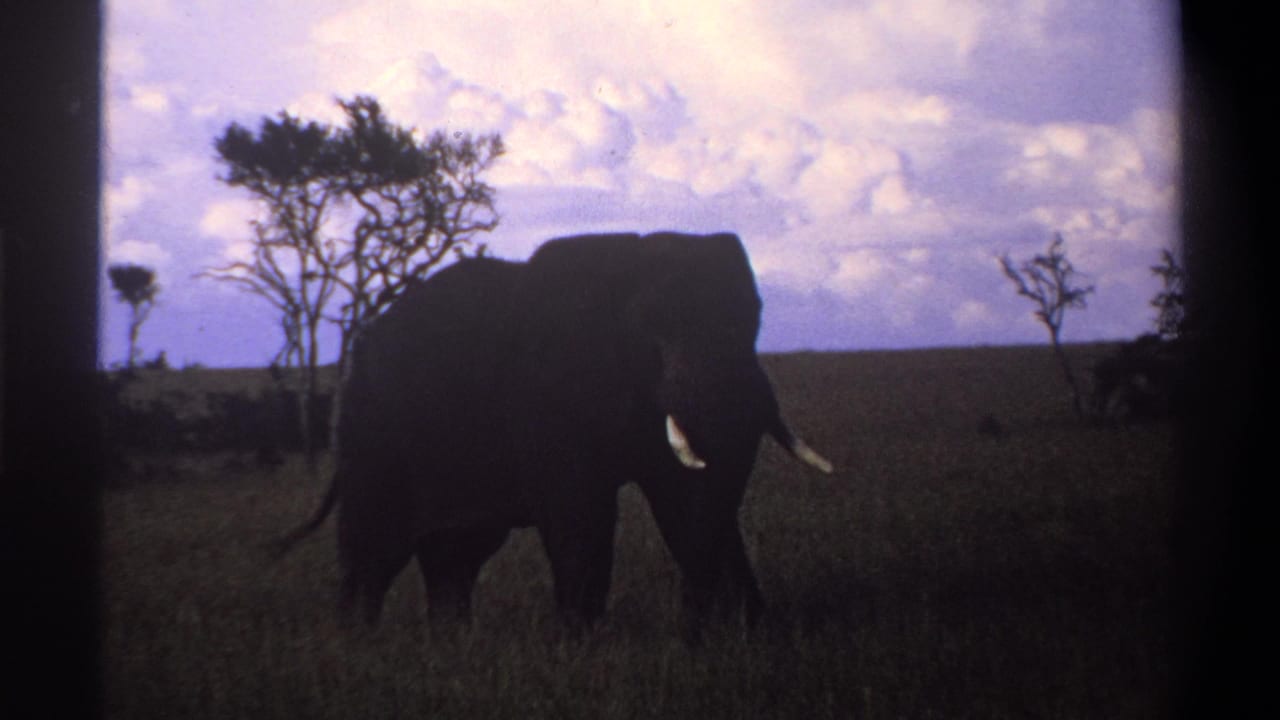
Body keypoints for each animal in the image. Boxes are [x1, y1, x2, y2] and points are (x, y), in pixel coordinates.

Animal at [279, 231, 832, 632]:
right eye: (655, 334)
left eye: (755, 321)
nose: (700, 621)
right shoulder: (550, 396)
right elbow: (581, 513)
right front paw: (579, 645)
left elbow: (683, 501)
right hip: (373, 435)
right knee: (375, 550)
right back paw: (360, 644)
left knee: (456, 554)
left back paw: (451, 643)